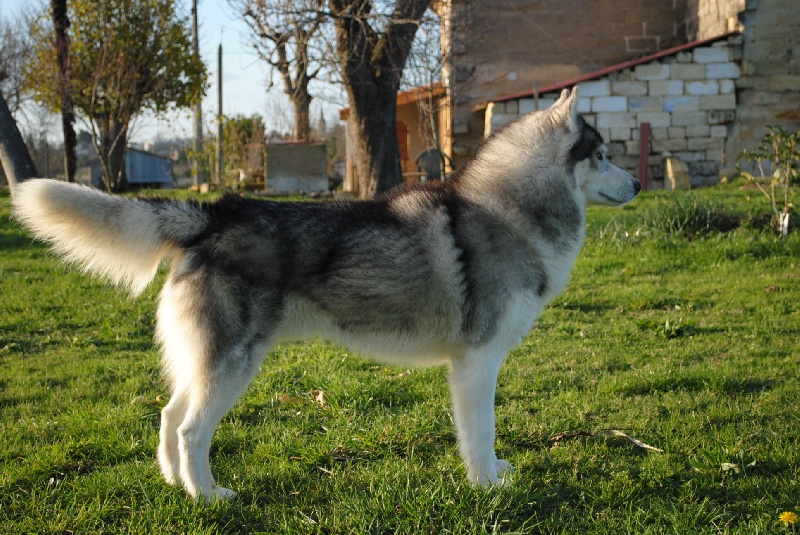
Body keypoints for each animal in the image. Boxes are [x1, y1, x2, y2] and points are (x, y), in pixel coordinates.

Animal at [12, 88, 640, 502]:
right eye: (603, 155)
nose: (638, 183)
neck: (510, 210)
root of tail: (216, 211)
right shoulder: (477, 362)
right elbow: (479, 434)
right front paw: (487, 487)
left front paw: (494, 475)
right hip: (234, 366)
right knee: (191, 430)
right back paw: (208, 497)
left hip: (205, 361)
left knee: (169, 416)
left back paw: (176, 486)